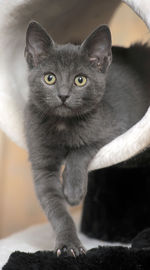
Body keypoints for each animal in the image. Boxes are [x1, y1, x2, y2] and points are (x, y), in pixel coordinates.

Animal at [24, 20, 150, 255]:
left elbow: (81, 149)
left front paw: (73, 190)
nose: (63, 95)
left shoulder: (118, 131)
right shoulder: (41, 163)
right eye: (49, 78)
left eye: (80, 80)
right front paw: (68, 245)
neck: (64, 124)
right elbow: (54, 206)